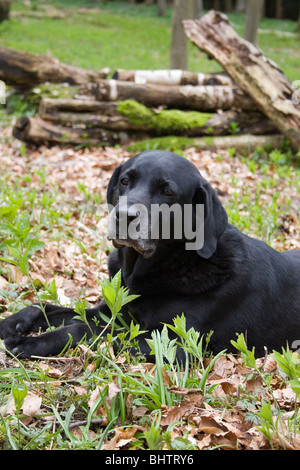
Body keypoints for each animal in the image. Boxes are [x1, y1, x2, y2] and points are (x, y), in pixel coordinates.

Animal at [0, 151, 300, 360]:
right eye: (124, 181)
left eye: (167, 191)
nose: (123, 216)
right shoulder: (112, 309)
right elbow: (46, 307)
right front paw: (11, 323)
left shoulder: (175, 343)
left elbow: (84, 330)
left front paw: (30, 342)